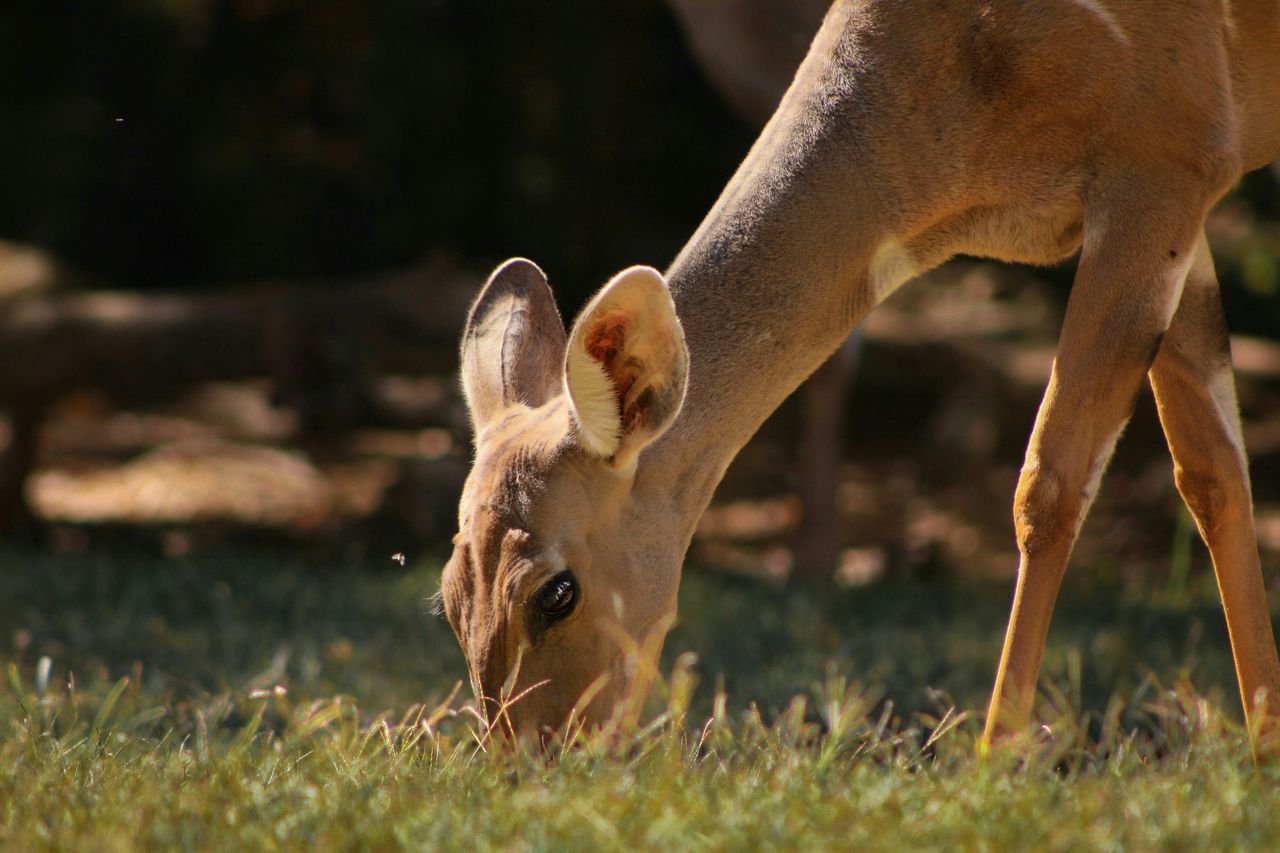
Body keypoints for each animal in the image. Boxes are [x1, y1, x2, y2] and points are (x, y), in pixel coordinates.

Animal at [442, 0, 1280, 753]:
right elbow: (1213, 469)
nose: (532, 763)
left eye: (557, 591)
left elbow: (1050, 484)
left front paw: (994, 761)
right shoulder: (1184, 195)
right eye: (450, 593)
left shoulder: (1162, 165)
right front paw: (1262, 748)